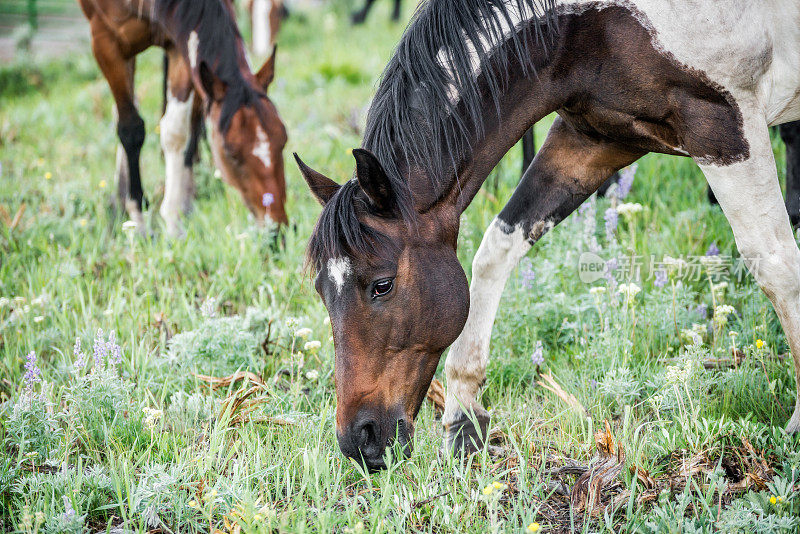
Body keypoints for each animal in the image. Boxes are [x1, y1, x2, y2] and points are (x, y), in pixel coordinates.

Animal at [78, 0, 290, 237]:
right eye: (231, 154)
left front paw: (174, 220)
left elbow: (176, 132)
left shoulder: (180, 44)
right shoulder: (105, 41)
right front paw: (139, 220)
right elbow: (131, 129)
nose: (277, 229)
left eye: (283, 141)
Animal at [296, 0, 800, 472]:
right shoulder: (591, 139)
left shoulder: (725, 128)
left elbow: (777, 266)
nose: (357, 441)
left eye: (381, 285)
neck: (588, 25)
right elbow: (496, 250)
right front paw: (464, 420)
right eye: (321, 290)